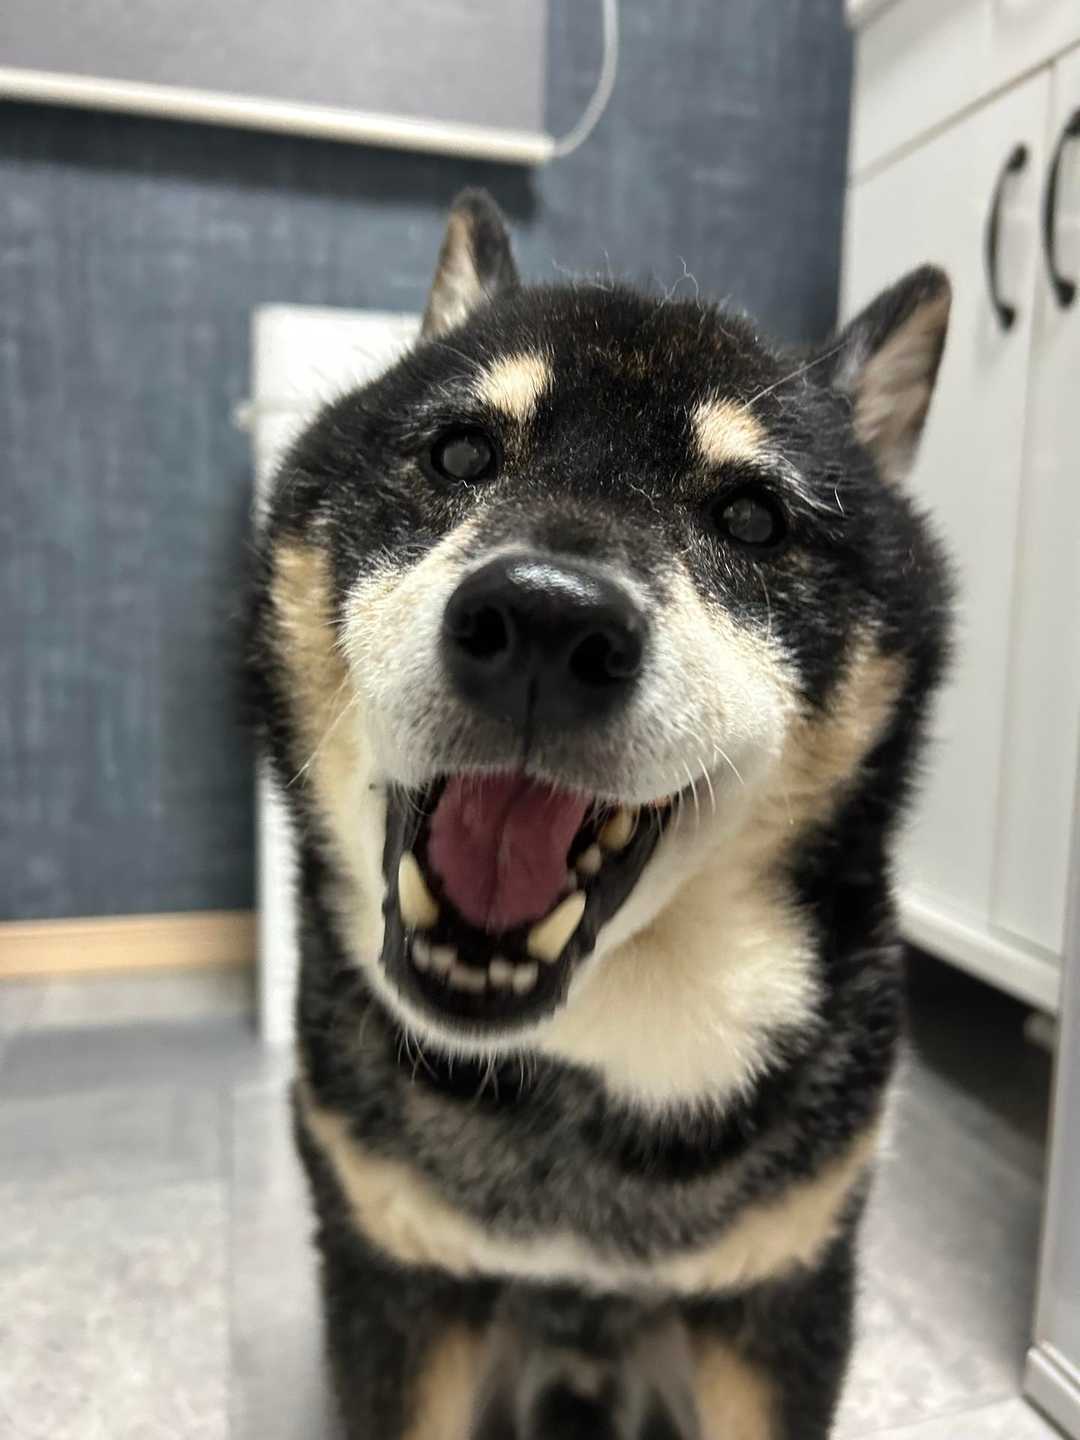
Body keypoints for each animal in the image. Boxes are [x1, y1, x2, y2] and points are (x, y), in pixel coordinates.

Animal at [250, 189, 952, 1439]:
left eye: (754, 518)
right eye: (461, 451)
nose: (544, 620)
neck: (575, 1077)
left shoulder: (779, 1298)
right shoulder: (398, 1281)